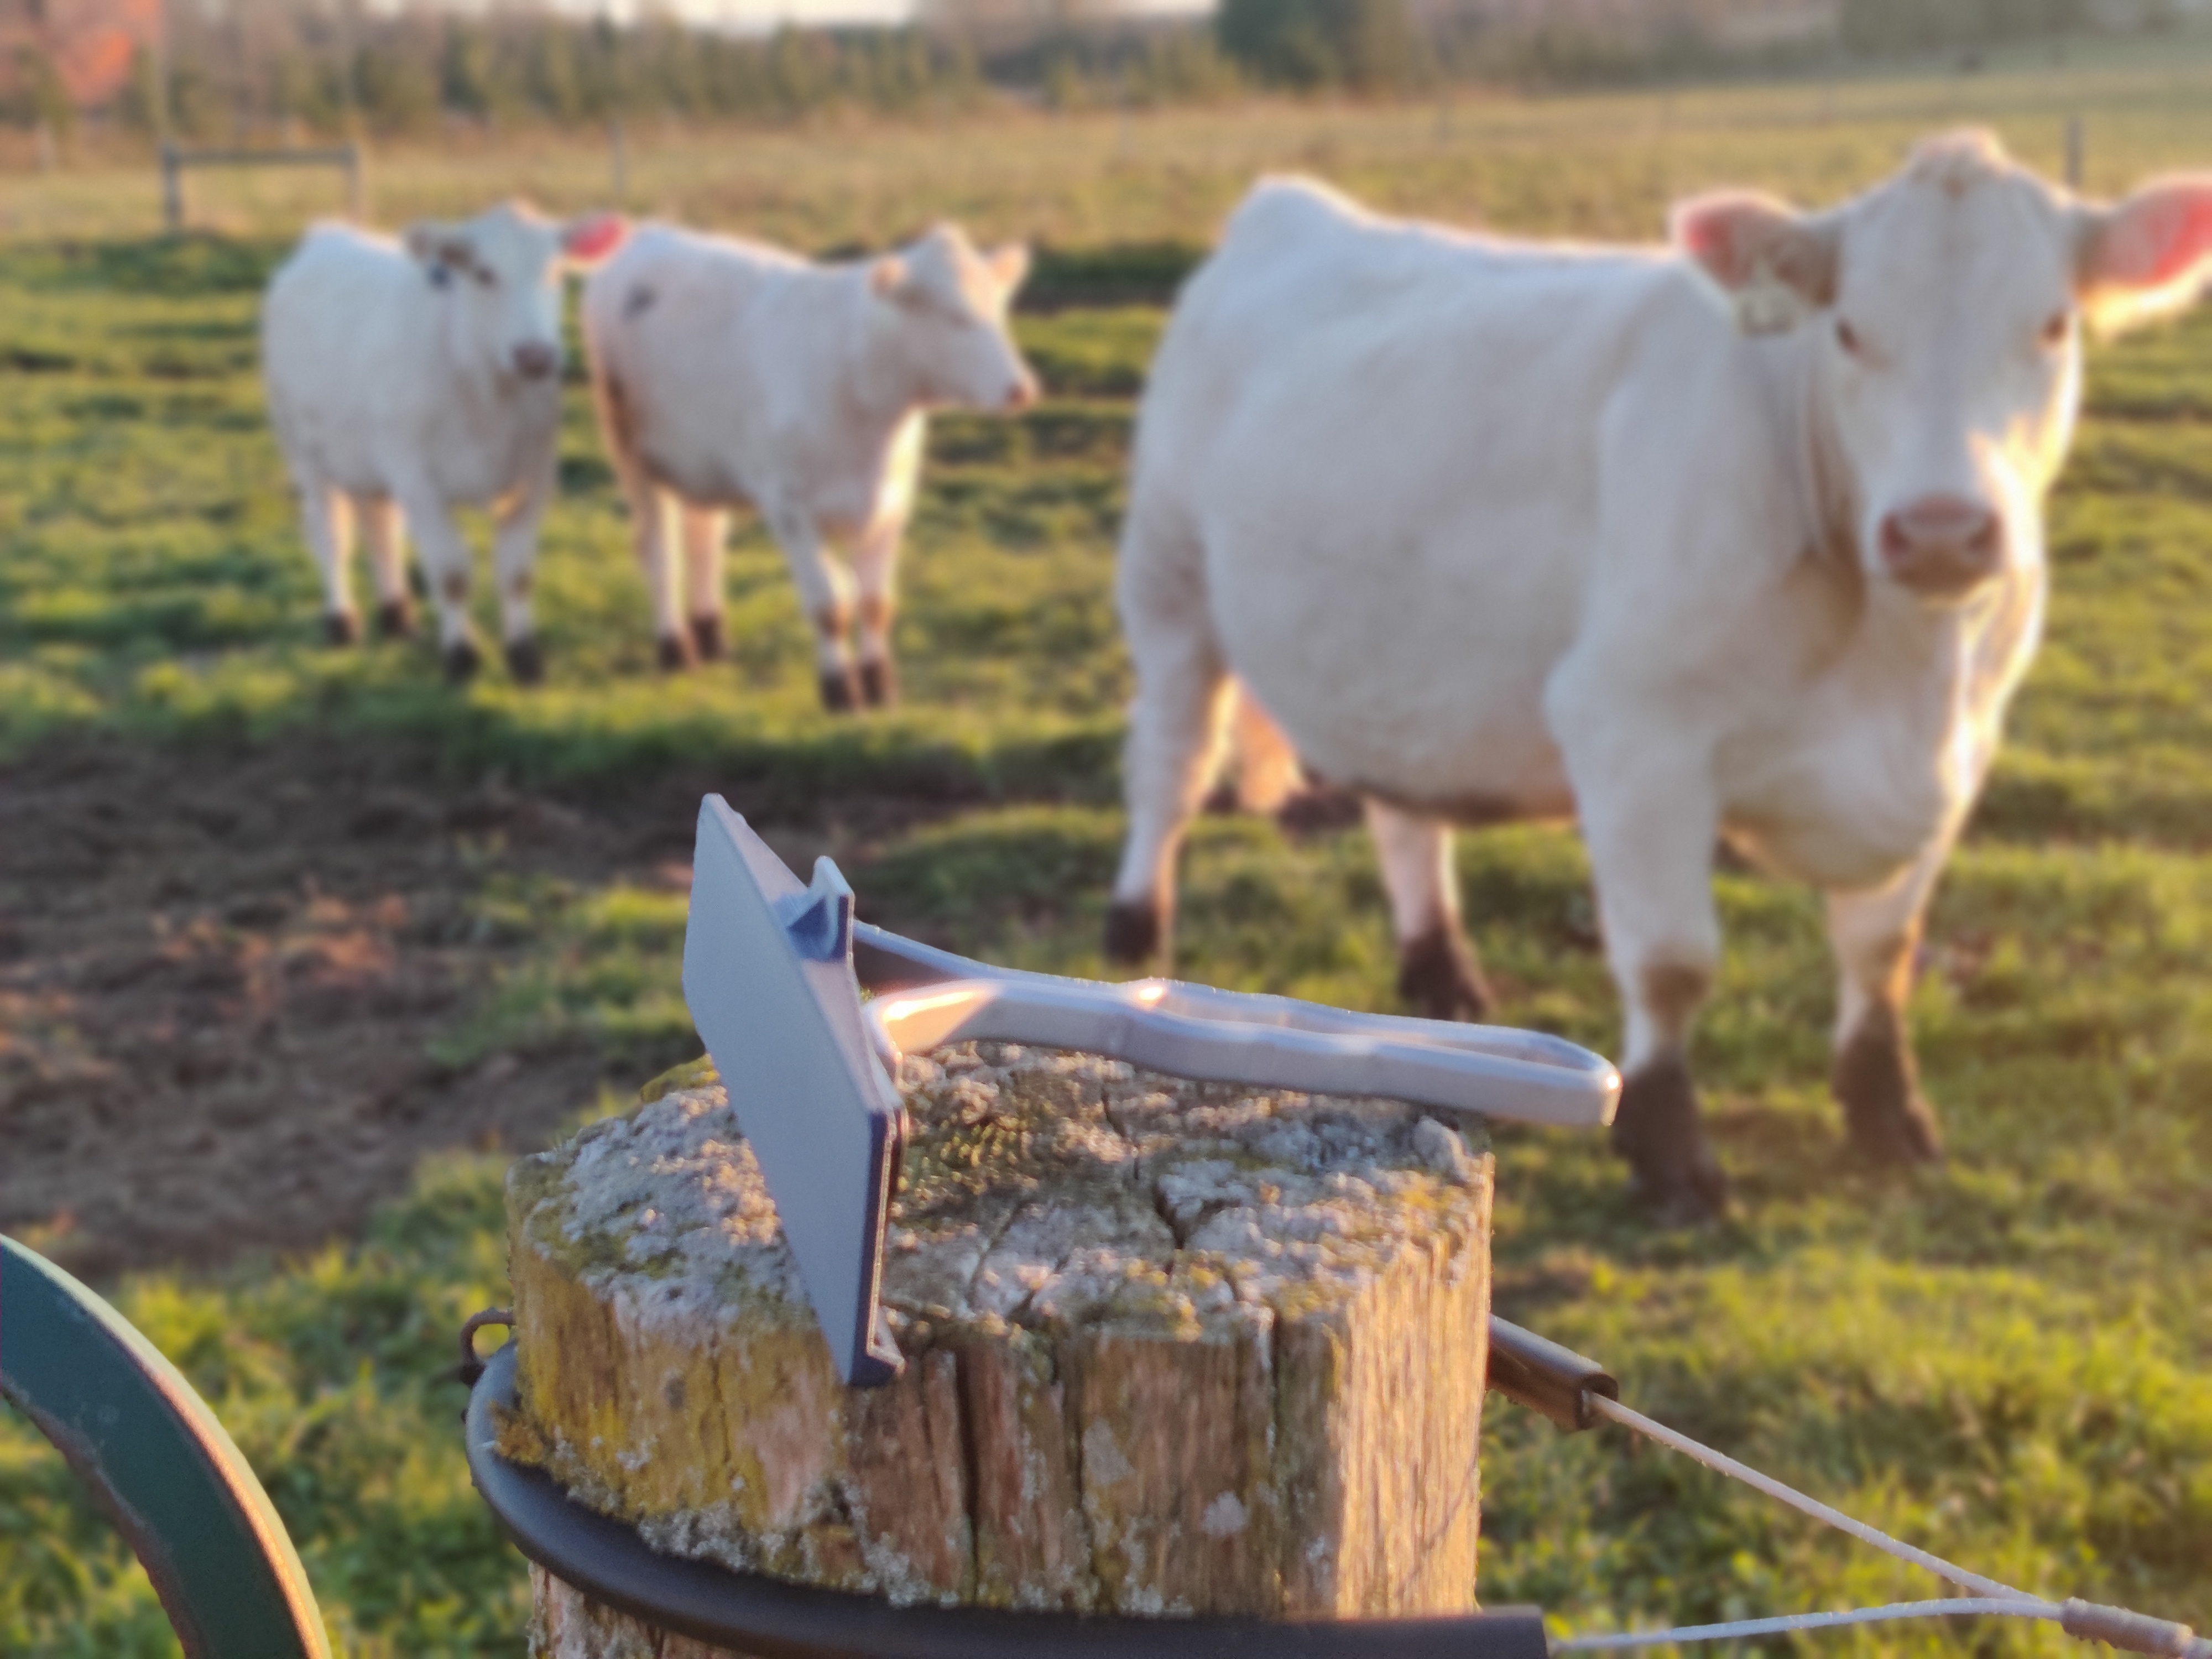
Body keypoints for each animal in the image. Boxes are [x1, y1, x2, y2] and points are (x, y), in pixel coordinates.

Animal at [262, 201, 624, 683]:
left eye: (557, 271)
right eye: (483, 273)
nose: (535, 355)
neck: (487, 396)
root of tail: (327, 236)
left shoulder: (533, 477)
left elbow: (517, 572)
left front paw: (525, 656)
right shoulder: (418, 480)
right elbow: (452, 574)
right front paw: (462, 656)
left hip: (369, 460)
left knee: (380, 529)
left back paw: (398, 618)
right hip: (304, 452)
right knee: (331, 536)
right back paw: (342, 624)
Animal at [580, 221, 1038, 709]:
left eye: (1000, 310)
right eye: (955, 317)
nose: (1022, 389)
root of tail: (651, 230)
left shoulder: (891, 508)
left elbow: (875, 604)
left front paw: (880, 684)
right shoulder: (790, 509)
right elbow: (830, 605)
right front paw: (840, 690)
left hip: (703, 462)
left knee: (704, 540)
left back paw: (713, 638)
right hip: (632, 456)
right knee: (659, 553)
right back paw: (675, 649)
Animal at [1104, 132, 2212, 1220]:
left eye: (2054, 325)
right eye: (1850, 331)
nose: (1942, 528)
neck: (1905, 673)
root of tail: (1288, 207)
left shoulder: (1965, 745)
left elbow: (1883, 949)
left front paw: (1886, 1111)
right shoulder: (1633, 731)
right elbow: (1674, 963)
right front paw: (1671, 1150)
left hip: (1388, 657)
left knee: (1404, 816)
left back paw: (1442, 973)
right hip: (1171, 584)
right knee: (1169, 766)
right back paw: (1133, 930)